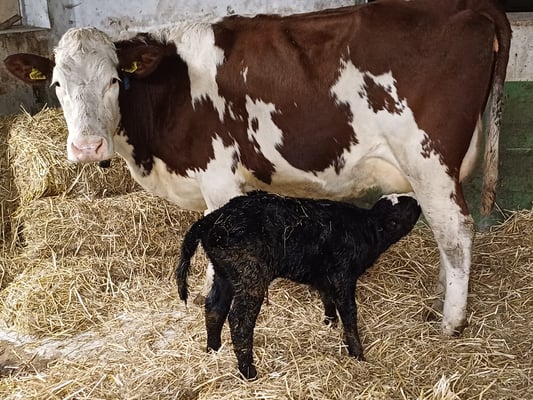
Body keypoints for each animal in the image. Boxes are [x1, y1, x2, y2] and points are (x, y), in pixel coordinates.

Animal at [4, 0, 511, 336]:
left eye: (114, 80)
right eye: (56, 84)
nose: (87, 147)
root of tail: (469, 7)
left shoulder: (218, 177)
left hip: (428, 158)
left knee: (456, 232)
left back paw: (450, 323)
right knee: (447, 235)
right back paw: (439, 302)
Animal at [176, 191, 422, 379]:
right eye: (409, 208)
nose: (417, 200)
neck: (366, 230)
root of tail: (214, 218)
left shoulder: (324, 275)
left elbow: (326, 296)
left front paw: (329, 322)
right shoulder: (343, 274)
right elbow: (349, 313)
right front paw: (357, 353)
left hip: (224, 272)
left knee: (214, 308)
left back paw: (213, 350)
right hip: (249, 274)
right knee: (239, 321)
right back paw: (248, 372)